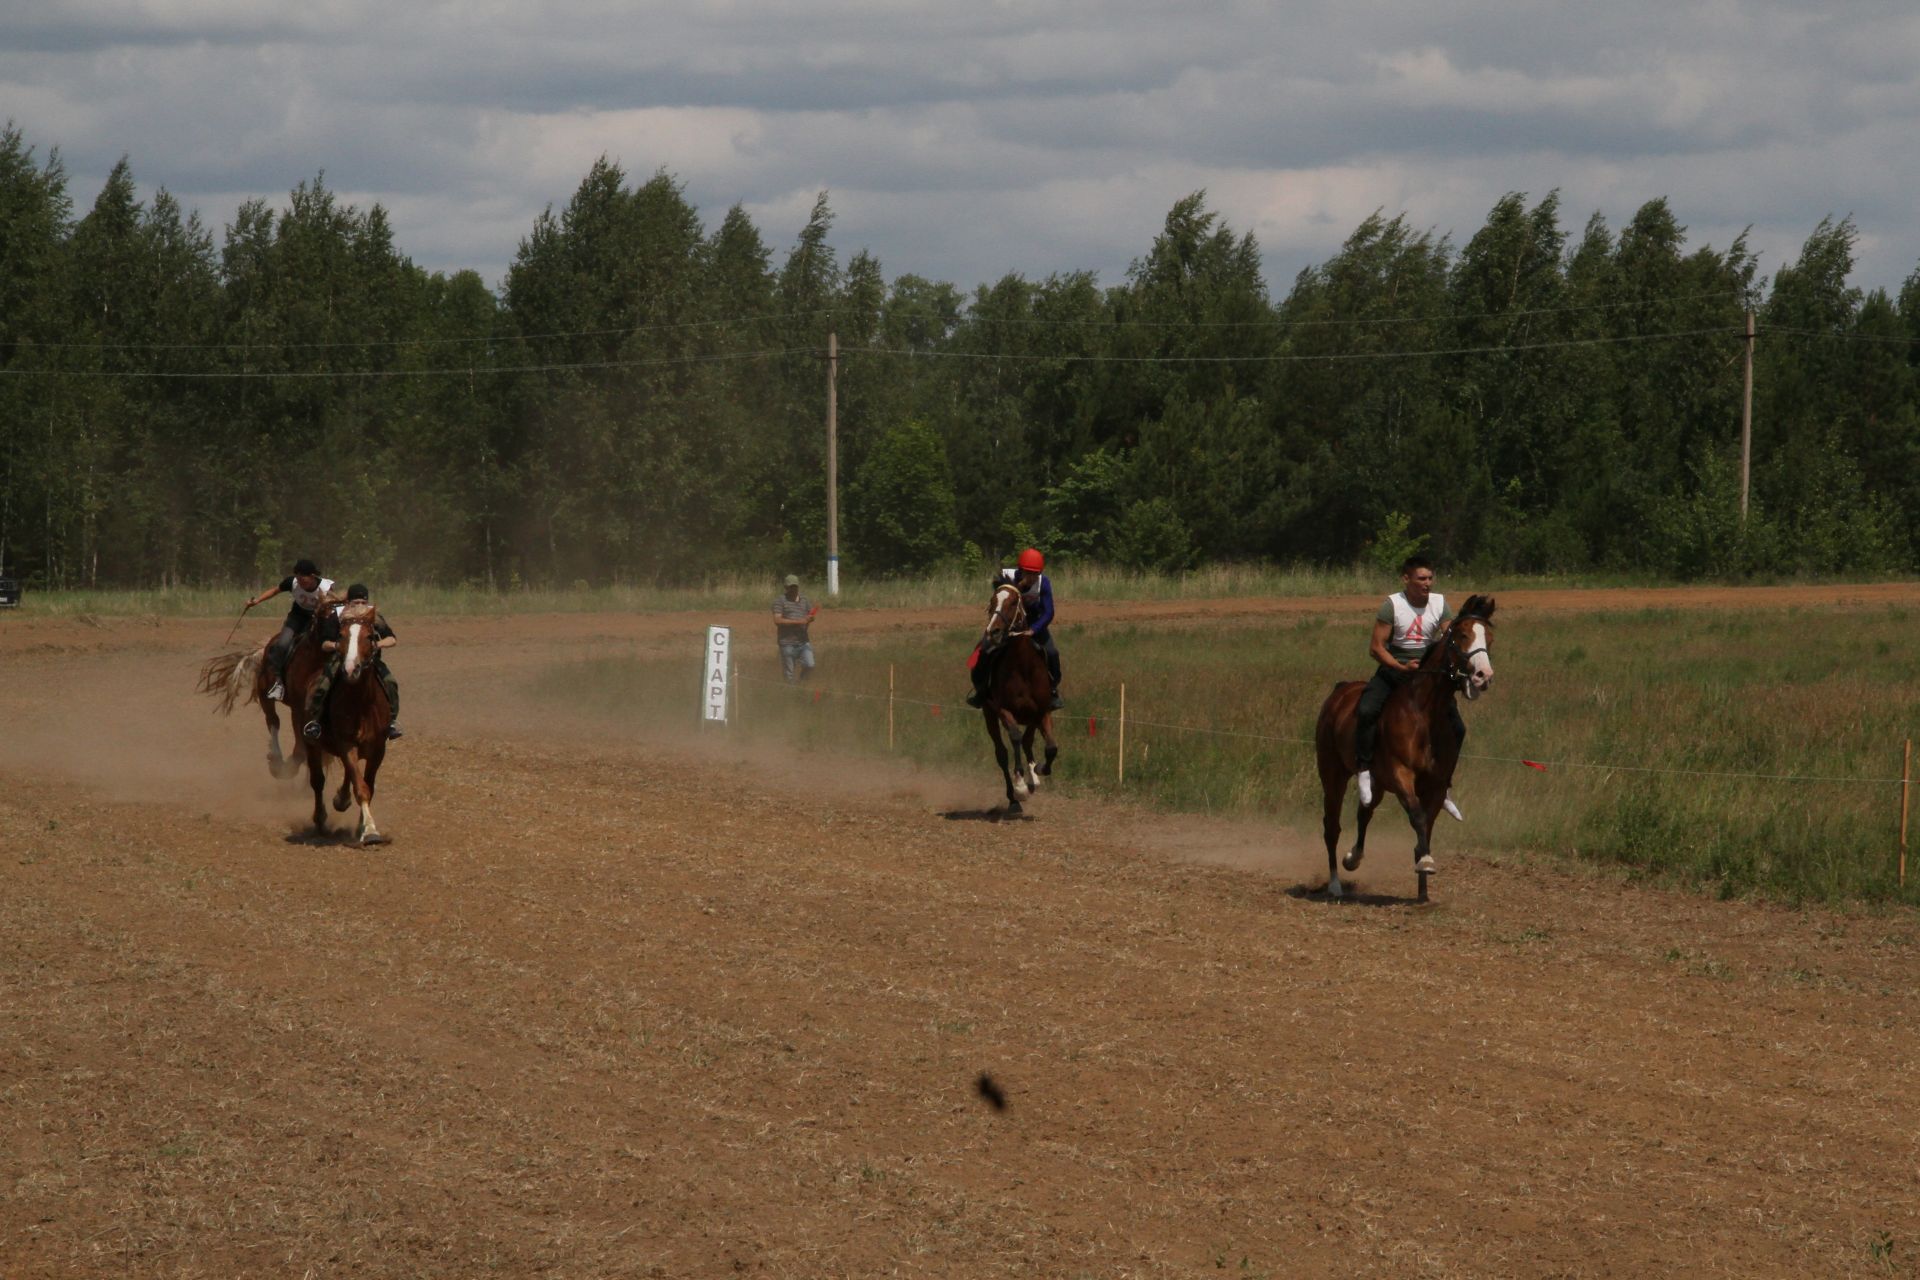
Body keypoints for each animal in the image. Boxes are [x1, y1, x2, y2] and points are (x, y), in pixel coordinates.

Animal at [983, 579, 1059, 817]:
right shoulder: (1003, 710)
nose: (993, 632)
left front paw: (1039, 770)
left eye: (1013, 602)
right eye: (992, 601)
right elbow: (1015, 738)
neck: (1022, 665)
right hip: (989, 715)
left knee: (1027, 741)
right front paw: (1020, 786)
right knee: (1002, 753)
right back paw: (1014, 798)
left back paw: (1034, 777)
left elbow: (1050, 747)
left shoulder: (1042, 711)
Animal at [1313, 594, 1489, 901]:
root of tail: (1339, 691)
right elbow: (1417, 817)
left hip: (1377, 783)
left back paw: (1353, 858)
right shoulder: (1401, 774)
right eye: (1463, 635)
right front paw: (1426, 863)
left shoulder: (1436, 784)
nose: (1483, 675)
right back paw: (1335, 885)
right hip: (1333, 775)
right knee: (1331, 826)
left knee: (1365, 811)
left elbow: (1426, 827)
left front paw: (1423, 888)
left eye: (1488, 637)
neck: (1425, 713)